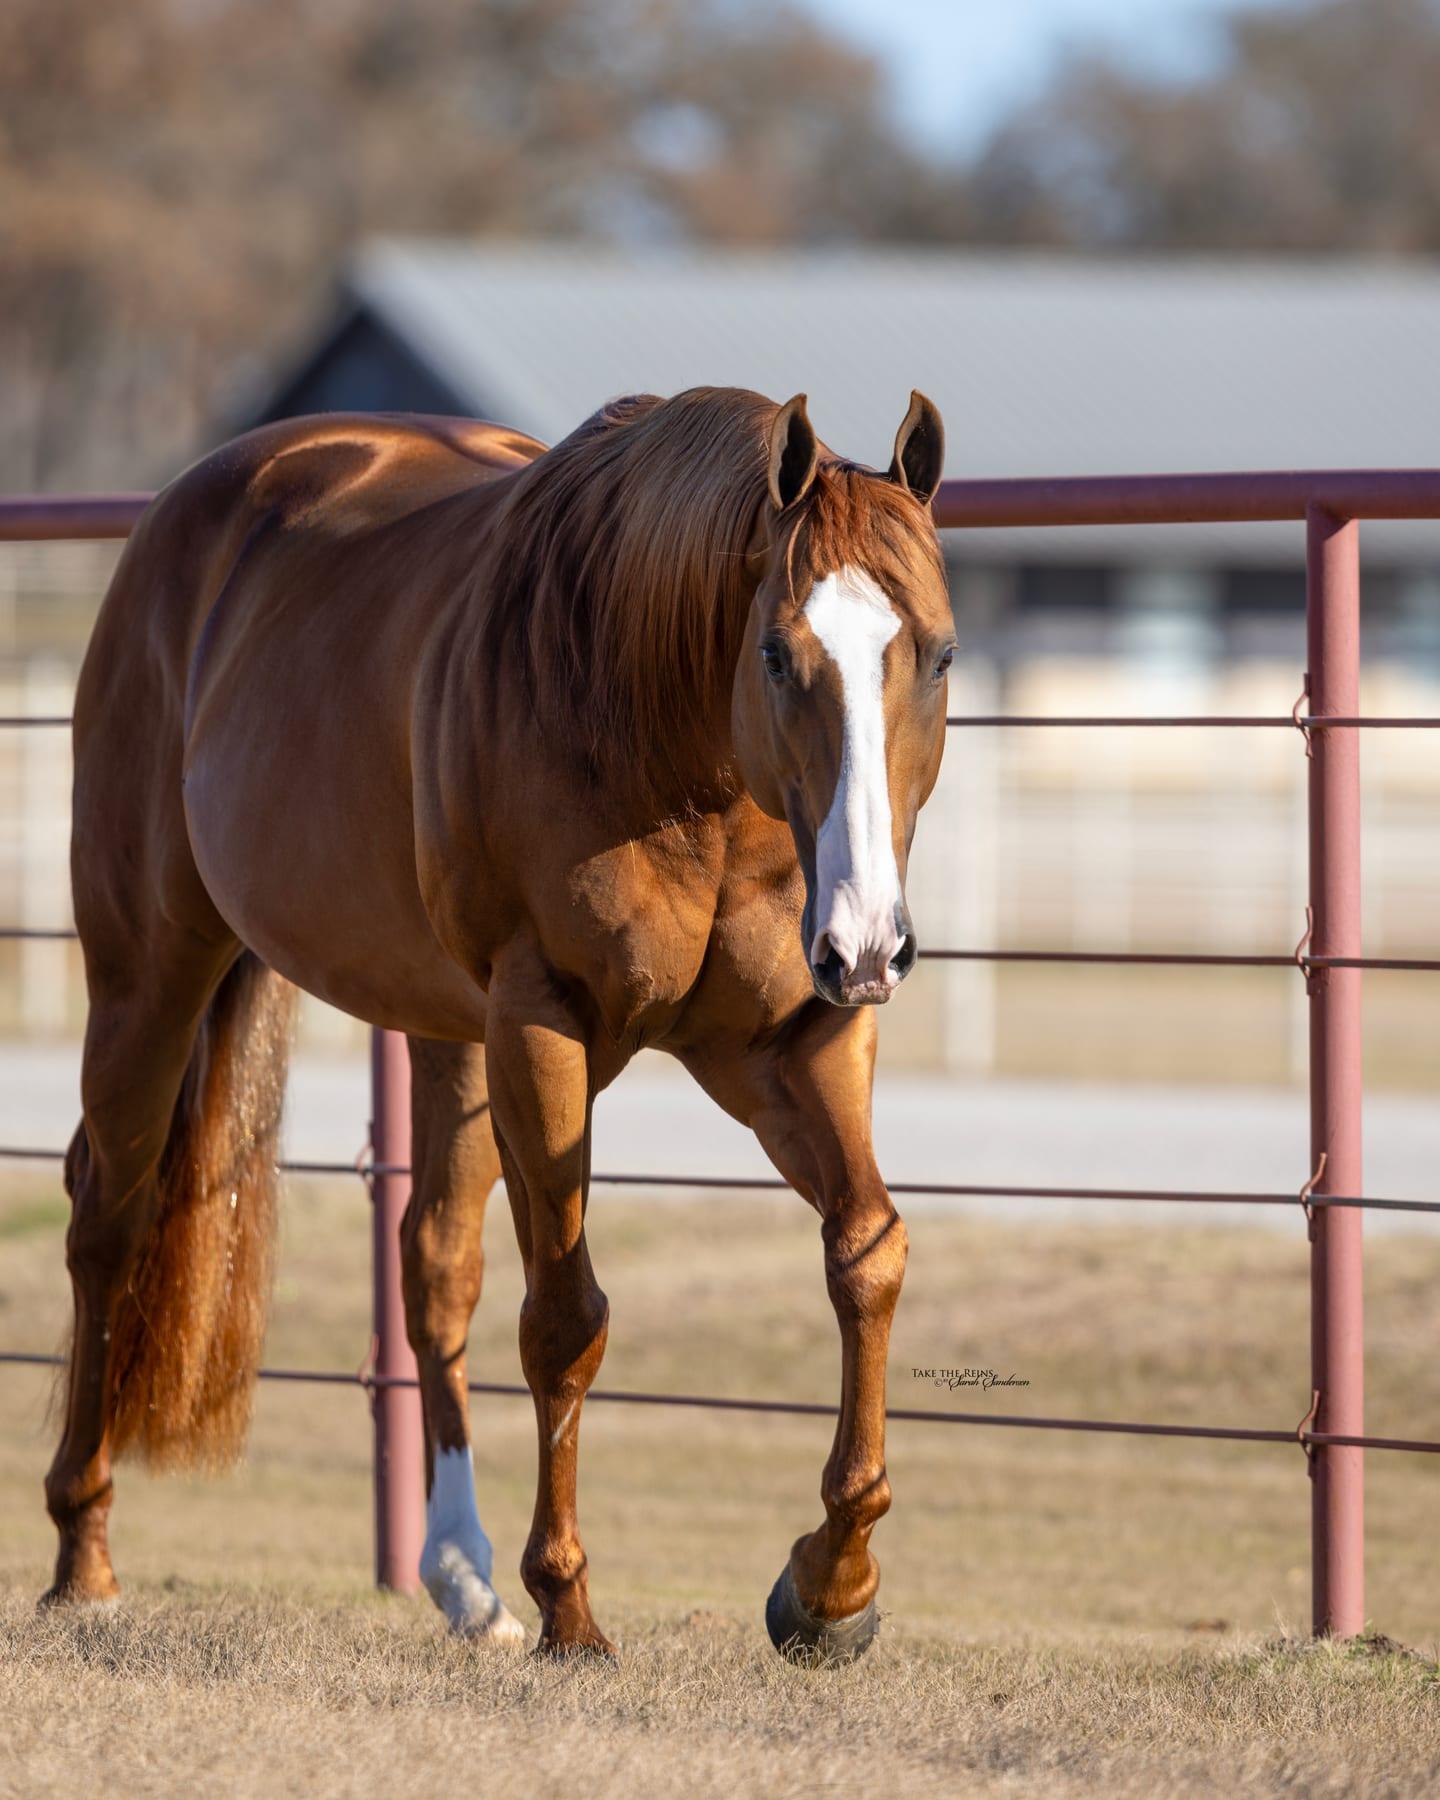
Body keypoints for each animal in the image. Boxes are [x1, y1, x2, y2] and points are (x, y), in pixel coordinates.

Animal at [42, 384, 953, 1663]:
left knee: (433, 1260)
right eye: (777, 652)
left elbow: (868, 1252)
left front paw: (831, 1586)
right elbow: (567, 1315)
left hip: (448, 1038)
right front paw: (571, 1604)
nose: (870, 939)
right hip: (150, 974)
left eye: (940, 653)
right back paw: (83, 1554)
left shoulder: (794, 1044)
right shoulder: (543, 1029)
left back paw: (462, 1577)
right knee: (106, 1223)